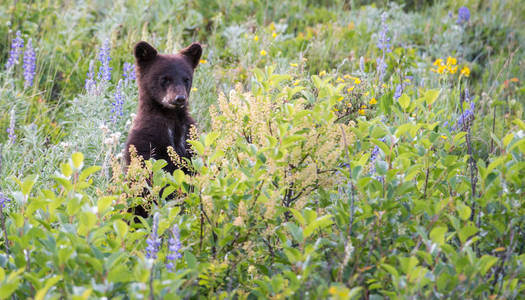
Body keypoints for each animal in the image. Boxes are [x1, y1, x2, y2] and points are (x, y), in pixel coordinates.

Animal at [124, 40, 202, 175]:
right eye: (165, 79)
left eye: (186, 79)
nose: (180, 98)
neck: (171, 116)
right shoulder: (148, 138)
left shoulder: (188, 135)